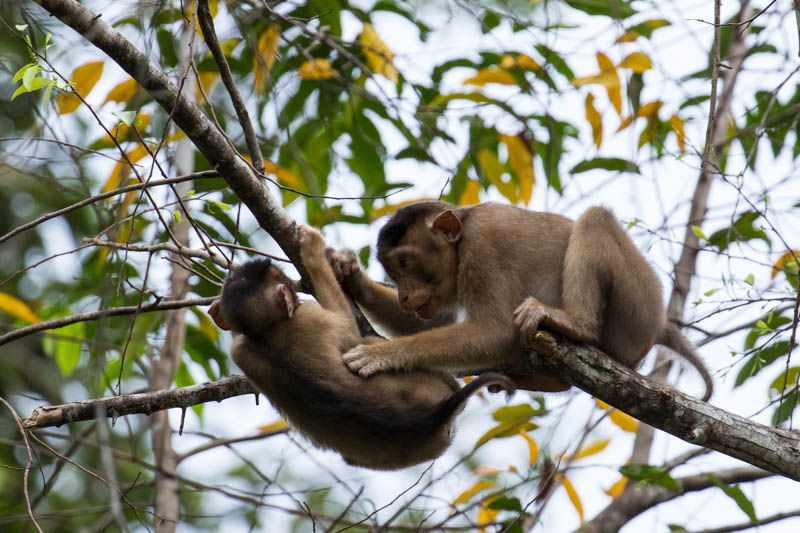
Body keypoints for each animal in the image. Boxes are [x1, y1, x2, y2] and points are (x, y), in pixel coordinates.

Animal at [208, 224, 512, 470]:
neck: (266, 333)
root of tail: (435, 416)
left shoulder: (241, 351)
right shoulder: (313, 318)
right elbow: (348, 326)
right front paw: (314, 252)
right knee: (369, 340)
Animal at [328, 202, 716, 402]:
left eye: (405, 263)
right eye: (391, 270)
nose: (405, 295)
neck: (465, 228)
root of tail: (661, 323)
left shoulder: (481, 247)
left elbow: (495, 332)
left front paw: (381, 354)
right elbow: (436, 322)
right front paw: (349, 273)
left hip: (639, 306)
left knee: (596, 218)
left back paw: (577, 325)